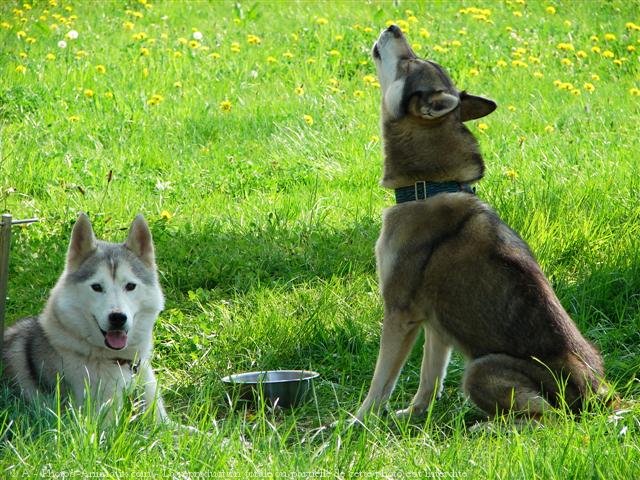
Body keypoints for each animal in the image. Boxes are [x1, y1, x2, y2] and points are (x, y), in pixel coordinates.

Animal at [358, 26, 608, 422]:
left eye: (409, 62)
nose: (394, 27)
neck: (429, 187)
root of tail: (599, 399)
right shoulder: (436, 325)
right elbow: (429, 381)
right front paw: (414, 415)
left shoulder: (400, 313)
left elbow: (380, 383)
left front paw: (356, 422)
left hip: (481, 369)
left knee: (546, 419)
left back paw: (487, 427)